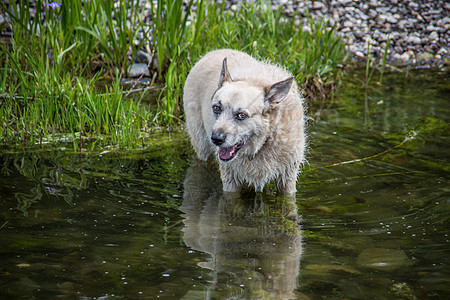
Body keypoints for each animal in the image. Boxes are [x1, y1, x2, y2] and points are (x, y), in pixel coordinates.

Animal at [183, 48, 306, 195]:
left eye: (241, 115)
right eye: (216, 108)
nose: (216, 139)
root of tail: (213, 51)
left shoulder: (288, 177)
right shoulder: (230, 180)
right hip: (201, 144)